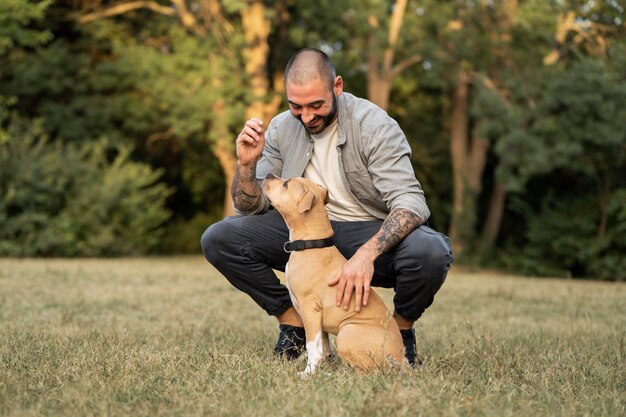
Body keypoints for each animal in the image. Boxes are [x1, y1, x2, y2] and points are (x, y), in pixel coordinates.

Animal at [260, 173, 402, 374]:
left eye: (286, 184)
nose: (268, 175)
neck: (312, 243)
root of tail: (402, 359)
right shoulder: (319, 319)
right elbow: (323, 346)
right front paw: (319, 369)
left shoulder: (310, 309)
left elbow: (312, 345)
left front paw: (307, 373)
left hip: (347, 332)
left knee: (369, 371)